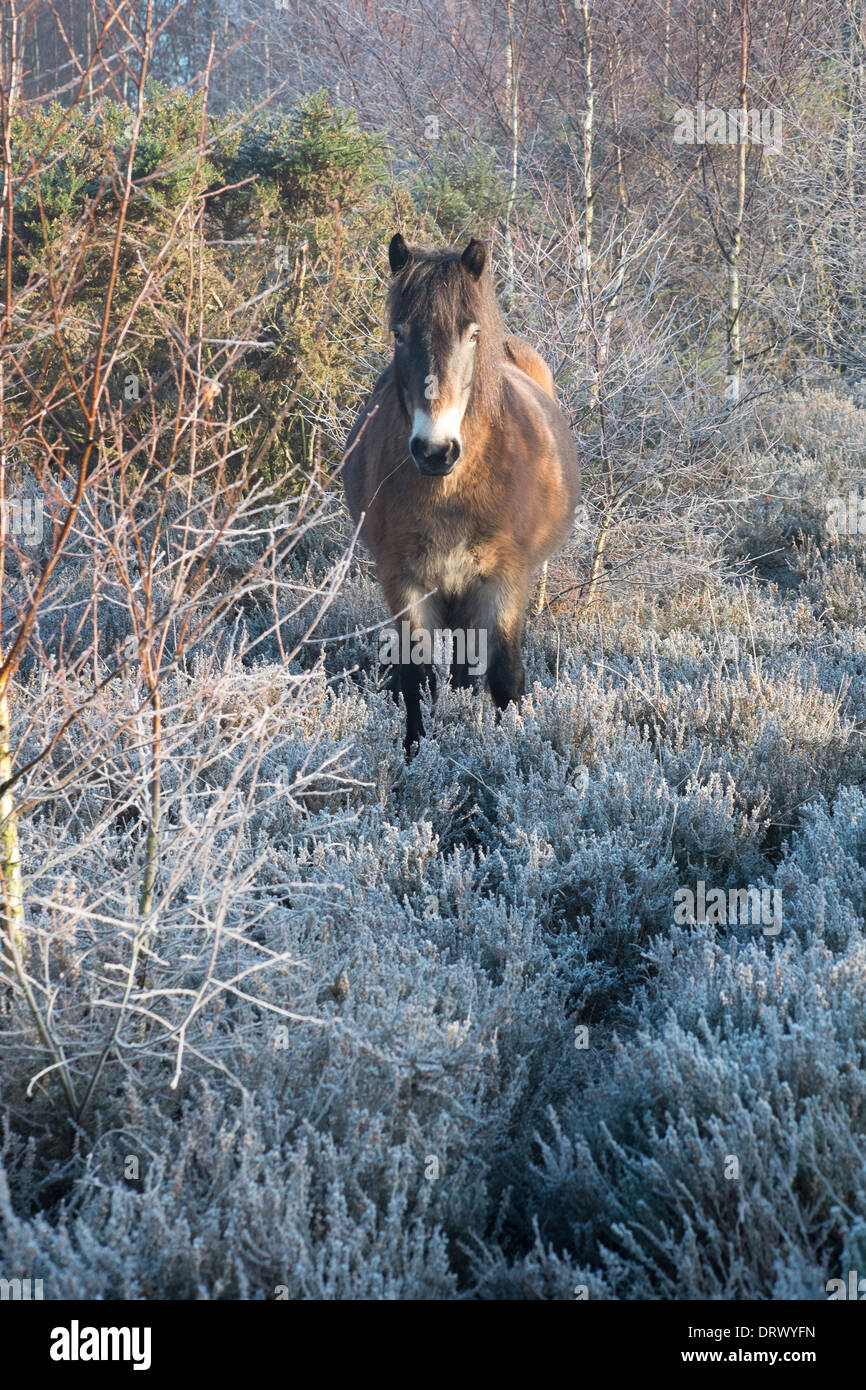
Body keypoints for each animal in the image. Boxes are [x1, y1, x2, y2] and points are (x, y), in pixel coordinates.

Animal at [341, 233, 578, 756]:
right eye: (399, 333)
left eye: (472, 334)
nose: (435, 451)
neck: (450, 495)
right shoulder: (403, 580)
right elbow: (413, 678)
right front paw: (415, 757)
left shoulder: (503, 581)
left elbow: (506, 678)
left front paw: (509, 757)